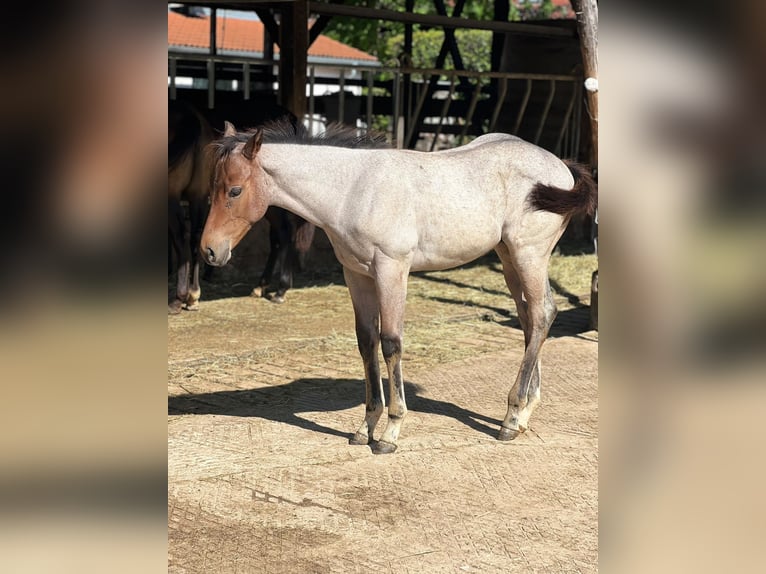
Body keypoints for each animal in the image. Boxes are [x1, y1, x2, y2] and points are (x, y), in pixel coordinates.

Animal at [200, 120, 596, 454]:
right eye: (212, 189)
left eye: (234, 190)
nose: (210, 251)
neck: (353, 190)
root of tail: (560, 166)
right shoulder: (356, 274)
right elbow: (366, 342)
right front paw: (365, 427)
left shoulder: (392, 269)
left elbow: (391, 343)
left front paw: (391, 431)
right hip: (509, 257)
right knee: (530, 319)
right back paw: (524, 413)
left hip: (529, 254)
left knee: (543, 314)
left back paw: (511, 418)